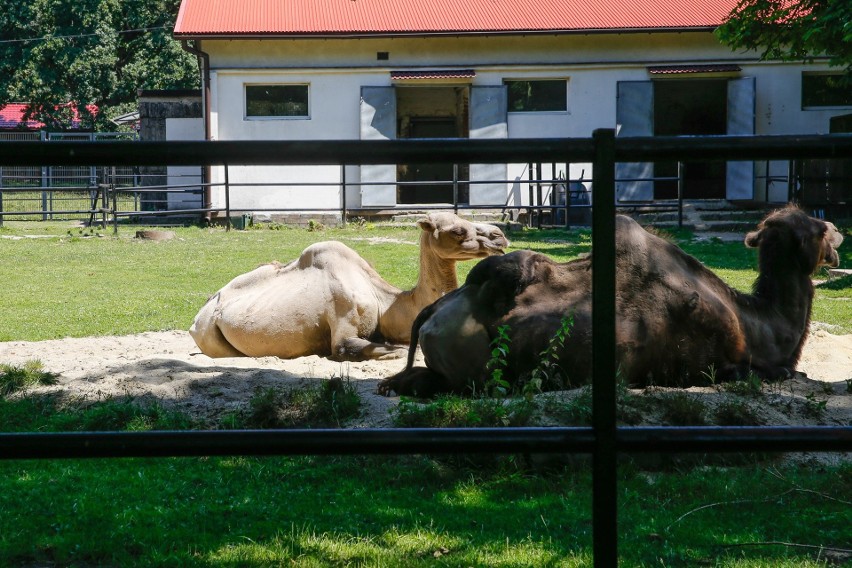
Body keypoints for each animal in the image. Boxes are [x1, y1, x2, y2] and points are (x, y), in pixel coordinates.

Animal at [190, 211, 510, 362]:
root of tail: (200, 313)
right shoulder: (343, 324)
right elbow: (380, 349)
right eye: (457, 230)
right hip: (209, 333)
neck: (385, 302)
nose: (499, 235)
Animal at [382, 206, 844, 398]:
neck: (756, 324)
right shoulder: (726, 364)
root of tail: (433, 312)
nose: (839, 233)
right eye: (816, 228)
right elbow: (782, 372)